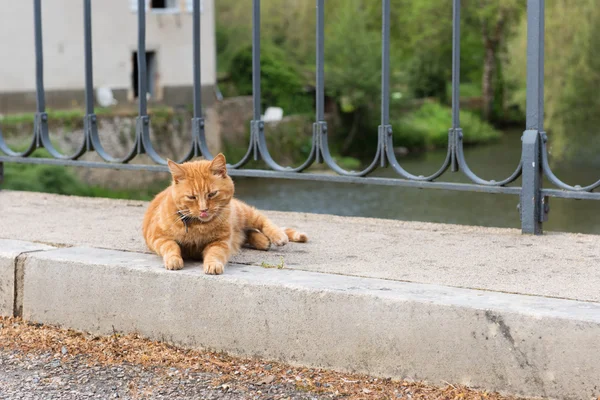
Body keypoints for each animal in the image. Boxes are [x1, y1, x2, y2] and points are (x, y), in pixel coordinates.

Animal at [142, 154, 308, 276]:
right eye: (191, 197)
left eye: (212, 194)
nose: (203, 210)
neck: (198, 226)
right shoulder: (158, 238)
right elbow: (171, 246)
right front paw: (174, 260)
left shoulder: (220, 241)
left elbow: (215, 253)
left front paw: (213, 265)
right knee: (248, 233)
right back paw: (262, 241)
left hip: (243, 213)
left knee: (261, 221)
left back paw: (277, 236)